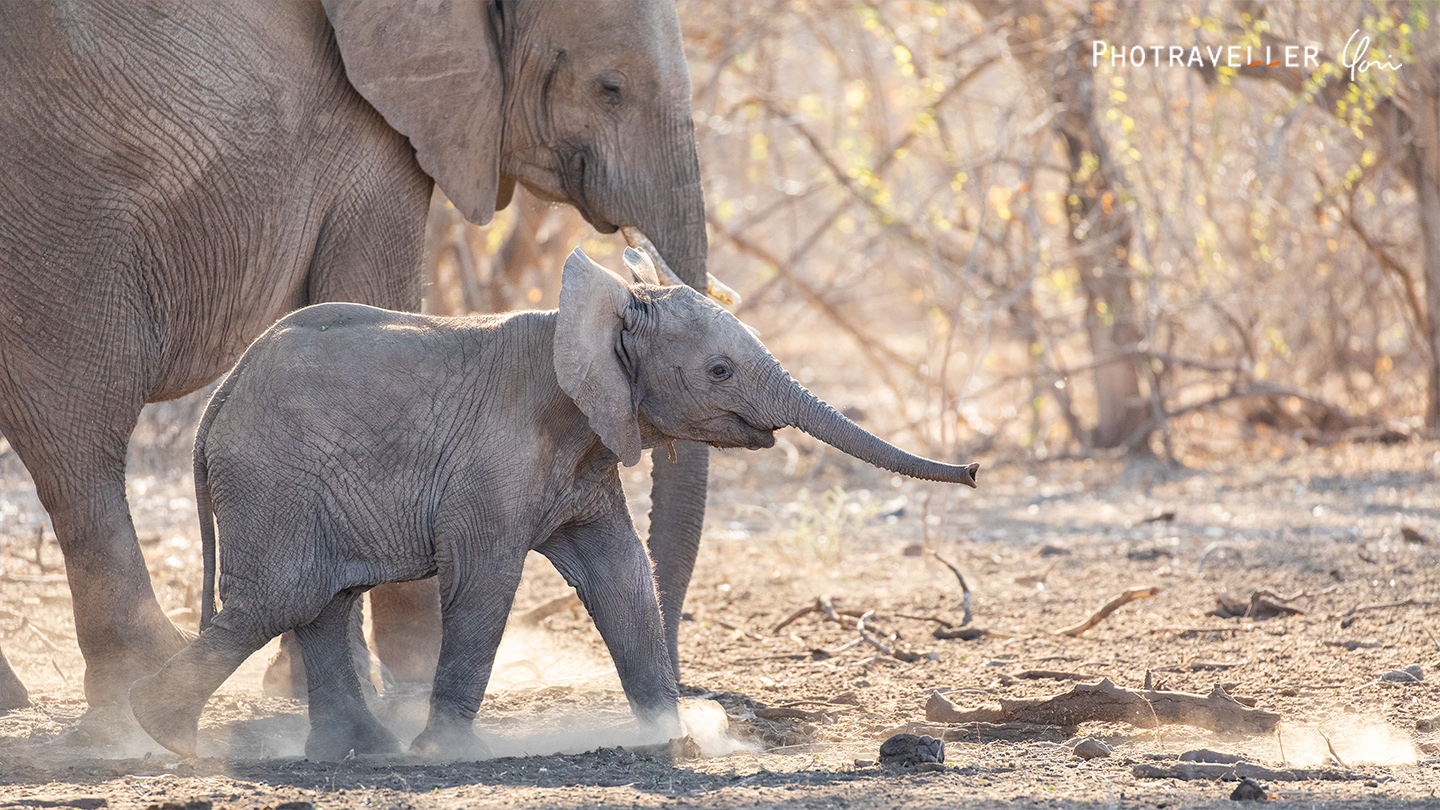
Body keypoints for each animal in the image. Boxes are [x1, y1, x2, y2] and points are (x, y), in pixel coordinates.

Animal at [0, 0, 716, 716]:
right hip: (59, 217)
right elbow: (370, 296)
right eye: (609, 88)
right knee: (76, 431)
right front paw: (405, 672)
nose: (686, 686)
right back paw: (139, 676)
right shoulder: (369, 137)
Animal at [127, 247, 979, 760]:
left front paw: (674, 742)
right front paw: (448, 756)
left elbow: (622, 579)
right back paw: (169, 738)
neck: (601, 310)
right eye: (720, 371)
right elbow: (483, 584)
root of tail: (219, 398)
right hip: (272, 477)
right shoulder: (495, 462)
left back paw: (356, 753)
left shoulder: (587, 461)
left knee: (319, 602)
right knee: (280, 600)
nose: (973, 471)